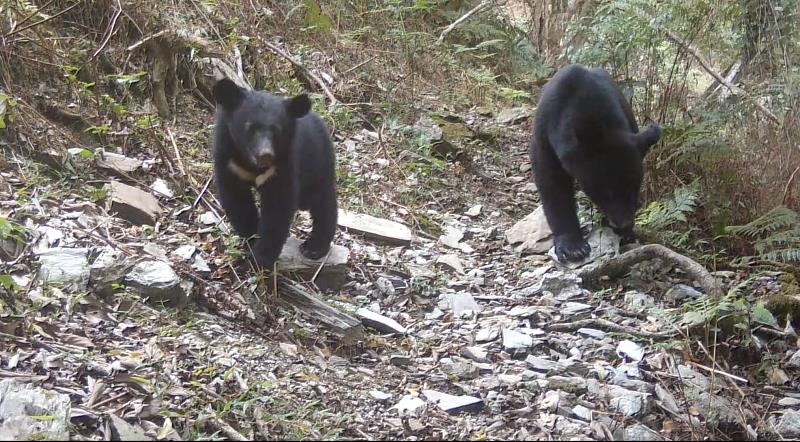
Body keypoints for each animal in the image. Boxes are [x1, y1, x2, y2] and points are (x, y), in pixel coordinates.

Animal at [211, 77, 336, 268]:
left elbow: (277, 208)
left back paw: (314, 248)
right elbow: (238, 202)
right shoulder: (228, 159)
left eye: (277, 130)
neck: (251, 165)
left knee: (323, 201)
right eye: (250, 128)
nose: (265, 155)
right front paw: (251, 240)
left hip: (318, 161)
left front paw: (260, 259)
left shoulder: (283, 165)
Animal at [532, 64, 664, 260]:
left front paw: (627, 234)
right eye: (605, 192)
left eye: (635, 188)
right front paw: (573, 246)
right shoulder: (545, 133)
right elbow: (551, 182)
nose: (622, 224)